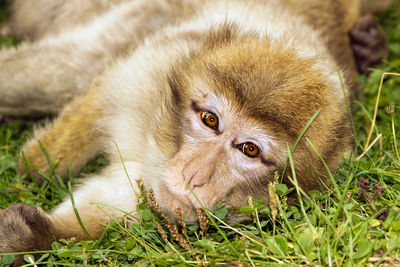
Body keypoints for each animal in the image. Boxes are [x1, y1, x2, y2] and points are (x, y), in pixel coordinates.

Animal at [0, 0, 390, 264]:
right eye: (210, 120)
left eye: (249, 150)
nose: (194, 176)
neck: (155, 139)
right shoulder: (154, 62)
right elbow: (47, 154)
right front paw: (37, 166)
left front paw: (35, 237)